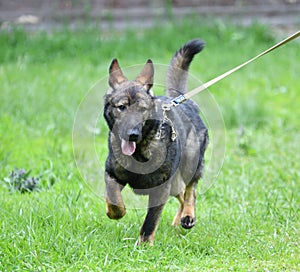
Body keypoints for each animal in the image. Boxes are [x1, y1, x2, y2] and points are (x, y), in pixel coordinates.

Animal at [103, 38, 209, 244]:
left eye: (142, 109)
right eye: (121, 107)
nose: (132, 134)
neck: (139, 153)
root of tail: (184, 100)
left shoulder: (161, 188)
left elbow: (150, 221)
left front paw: (144, 245)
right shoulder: (111, 173)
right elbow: (114, 198)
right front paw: (115, 212)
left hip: (189, 164)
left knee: (190, 191)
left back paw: (188, 216)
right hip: (174, 184)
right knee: (181, 194)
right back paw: (178, 220)